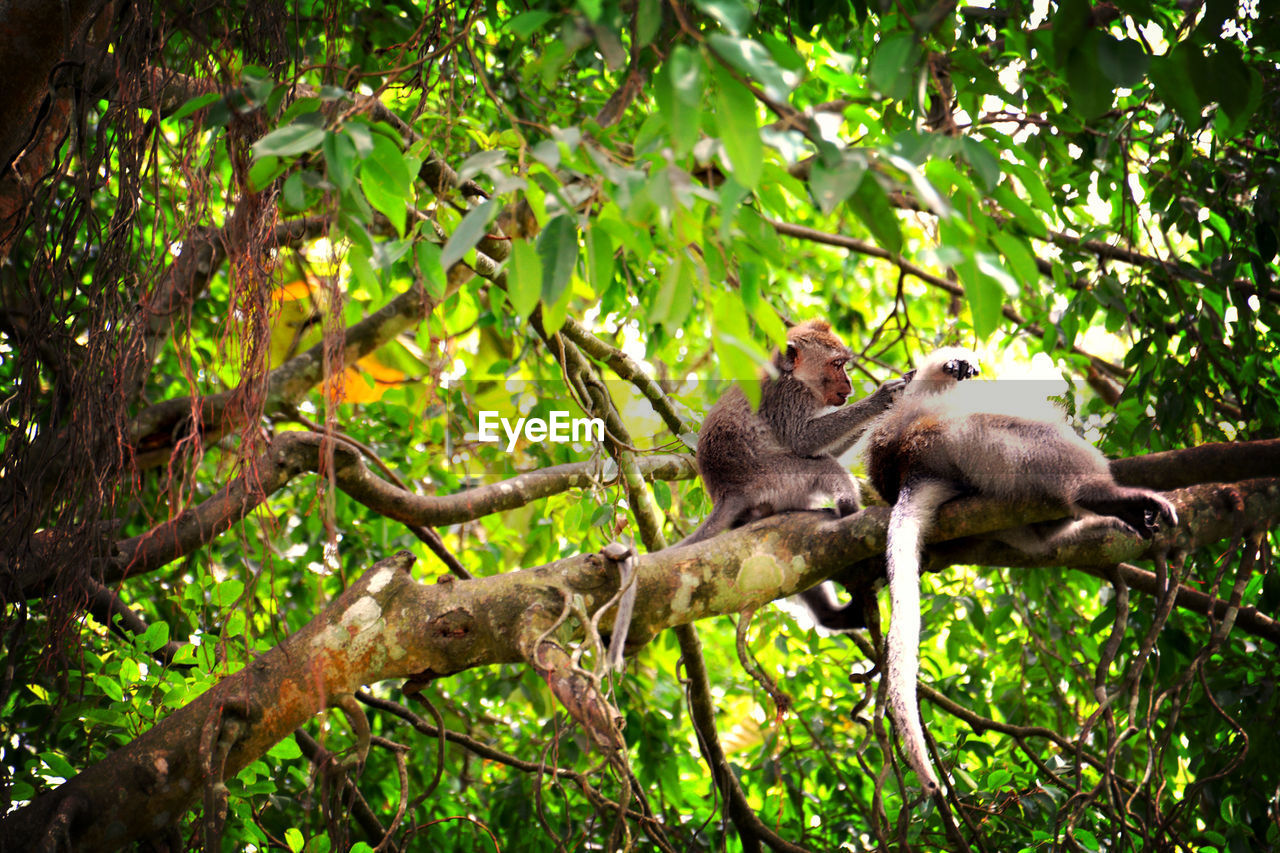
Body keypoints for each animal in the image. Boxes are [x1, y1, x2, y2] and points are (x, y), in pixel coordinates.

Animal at [680, 318, 901, 625]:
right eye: (837, 364)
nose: (849, 384)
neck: (793, 376)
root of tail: (727, 491)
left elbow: (821, 447)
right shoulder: (789, 398)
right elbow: (804, 441)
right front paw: (881, 398)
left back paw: (830, 615)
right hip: (774, 477)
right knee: (820, 465)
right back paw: (848, 510)